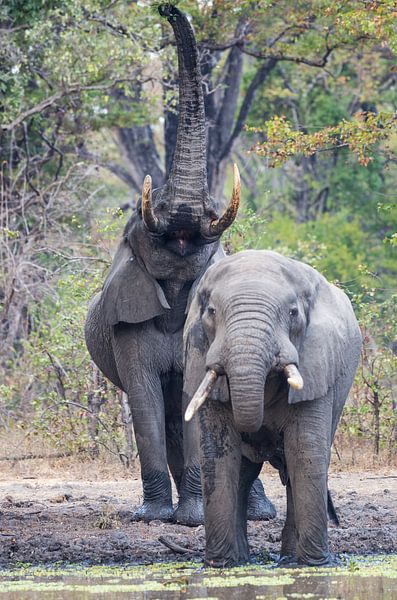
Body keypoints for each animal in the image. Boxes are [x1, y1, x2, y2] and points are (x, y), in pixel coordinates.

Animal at [84, 4, 276, 524]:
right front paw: (152, 518)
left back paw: (259, 514)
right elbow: (145, 403)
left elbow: (198, 399)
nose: (167, 9)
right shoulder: (126, 324)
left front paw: (192, 519)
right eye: (151, 212)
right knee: (168, 416)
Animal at [183, 250, 362, 568]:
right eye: (211, 312)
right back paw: (242, 559)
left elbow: (304, 450)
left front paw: (316, 566)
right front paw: (219, 566)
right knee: (244, 473)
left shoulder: (317, 362)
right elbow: (218, 452)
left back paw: (290, 560)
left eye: (293, 313)